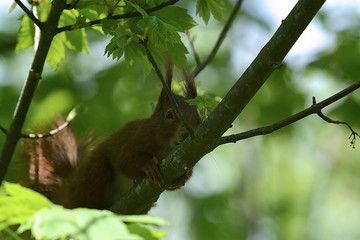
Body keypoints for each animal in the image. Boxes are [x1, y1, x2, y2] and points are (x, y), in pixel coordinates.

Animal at [21, 63, 201, 212]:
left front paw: (181, 179)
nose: (186, 133)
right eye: (169, 114)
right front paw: (148, 165)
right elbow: (124, 161)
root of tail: (64, 193)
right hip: (92, 173)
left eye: (199, 116)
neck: (168, 147)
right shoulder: (140, 136)